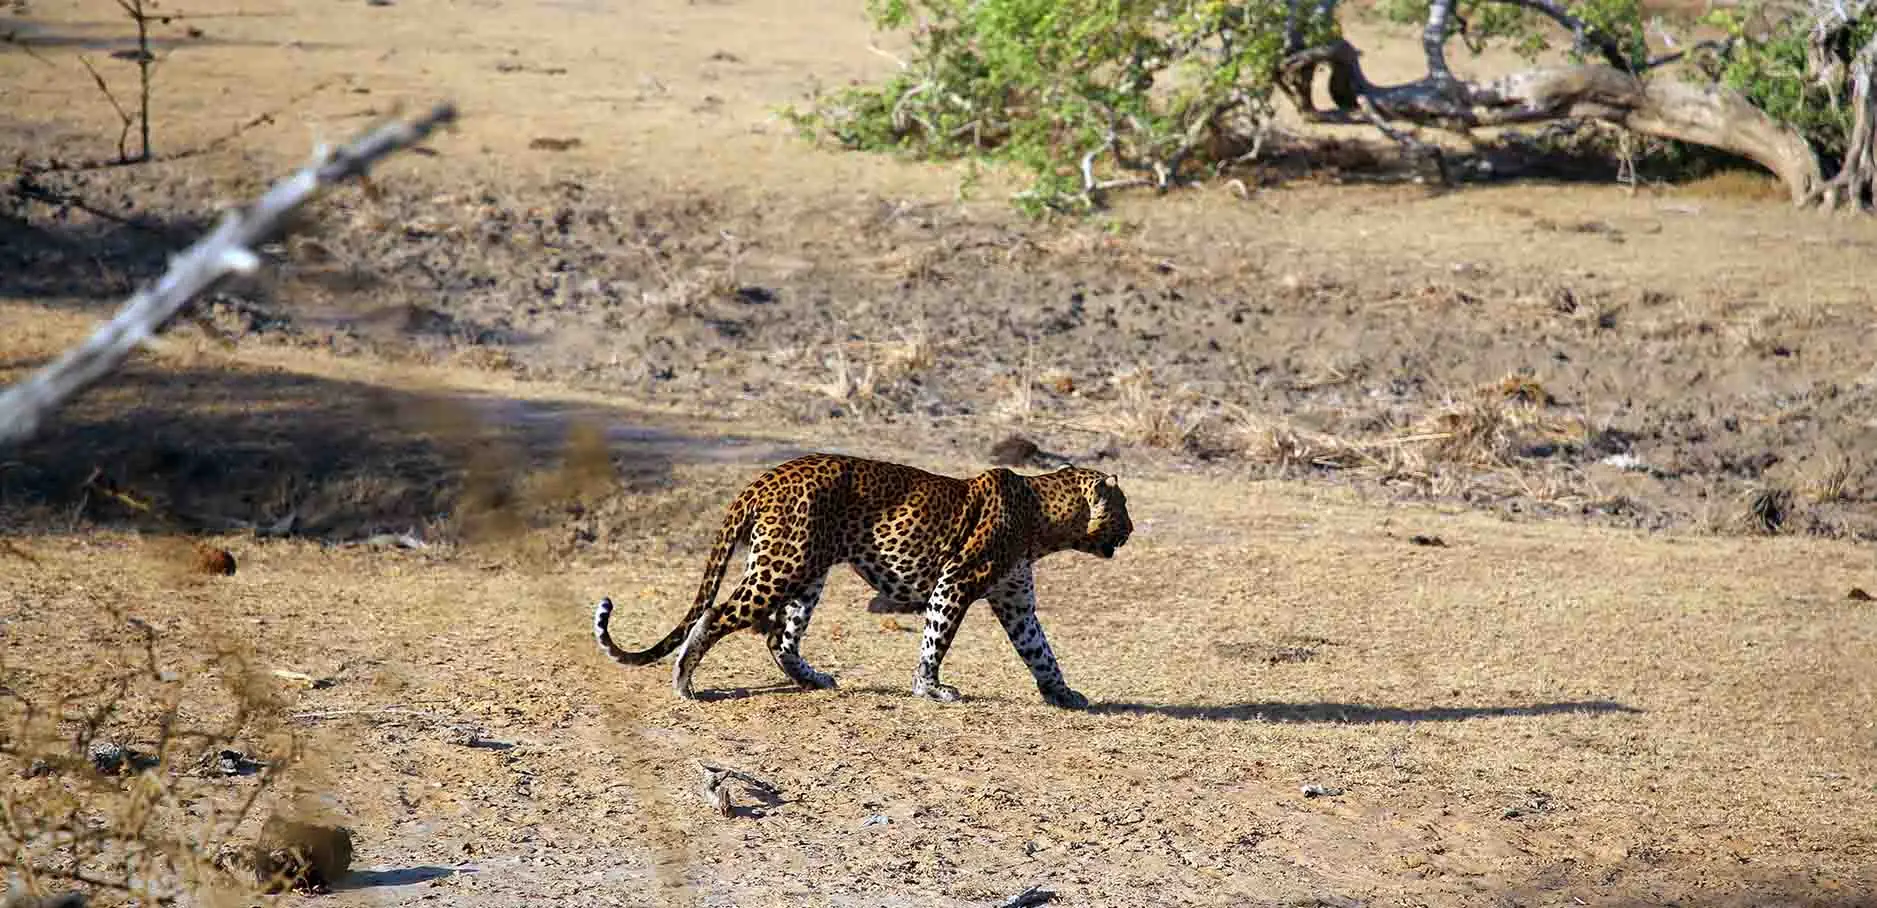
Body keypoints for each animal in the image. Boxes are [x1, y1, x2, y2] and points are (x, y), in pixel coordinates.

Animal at [591, 452, 1133, 709]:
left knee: (777, 637)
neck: (1043, 517)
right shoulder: (957, 581)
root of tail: (763, 478)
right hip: (782, 567)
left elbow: (1039, 649)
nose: (1130, 530)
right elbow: (936, 638)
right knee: (717, 614)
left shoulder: (1014, 598)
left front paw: (1062, 693)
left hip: (805, 575)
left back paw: (813, 679)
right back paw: (684, 680)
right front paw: (930, 688)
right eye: (1123, 506)